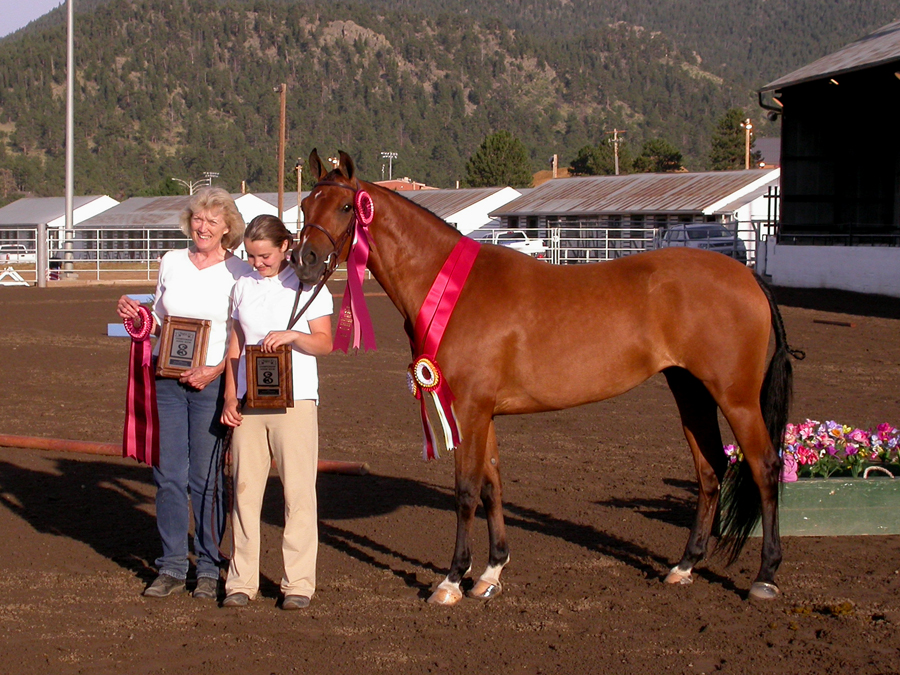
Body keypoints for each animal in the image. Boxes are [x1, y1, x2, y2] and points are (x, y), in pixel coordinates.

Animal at [294, 152, 800, 608]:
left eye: (345, 207)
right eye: (304, 204)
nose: (305, 259)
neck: (452, 287)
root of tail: (748, 278)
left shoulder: (470, 410)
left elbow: (466, 491)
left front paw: (452, 580)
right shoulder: (483, 413)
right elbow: (493, 485)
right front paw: (491, 573)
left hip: (736, 397)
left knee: (764, 467)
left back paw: (765, 577)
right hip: (690, 390)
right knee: (710, 468)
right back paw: (685, 566)